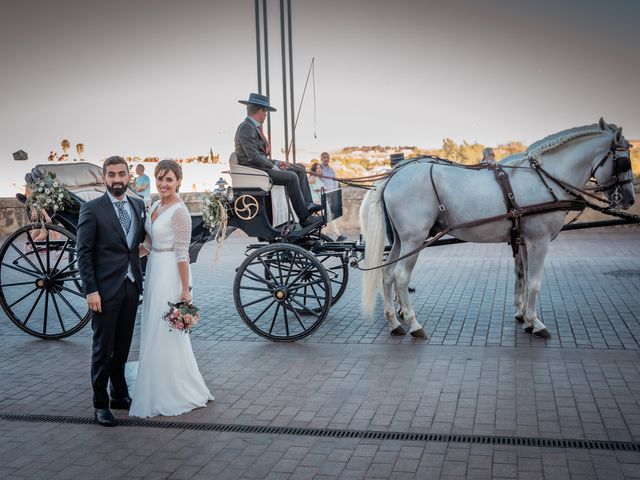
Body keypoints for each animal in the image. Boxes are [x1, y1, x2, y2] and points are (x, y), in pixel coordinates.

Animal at [360, 119, 636, 338]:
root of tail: (393, 176)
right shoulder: (539, 241)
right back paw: (414, 323)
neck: (543, 179)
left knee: (387, 274)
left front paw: (525, 318)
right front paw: (536, 323)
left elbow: (523, 276)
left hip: (400, 240)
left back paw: (394, 322)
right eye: (624, 162)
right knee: (400, 277)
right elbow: (534, 282)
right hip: (414, 239)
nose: (629, 199)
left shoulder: (524, 240)